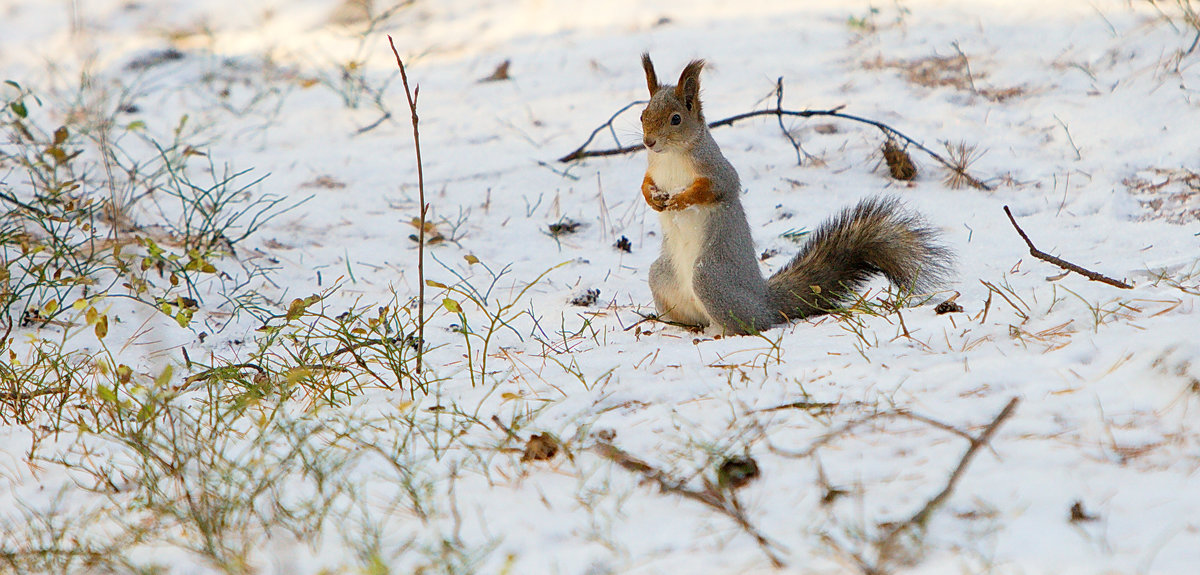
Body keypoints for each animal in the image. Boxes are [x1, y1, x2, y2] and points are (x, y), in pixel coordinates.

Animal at [638, 54, 955, 336]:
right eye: (642, 115)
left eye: (676, 119)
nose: (648, 142)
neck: (670, 156)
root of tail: (764, 302)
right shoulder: (653, 168)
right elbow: (646, 182)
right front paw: (651, 196)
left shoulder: (717, 170)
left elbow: (718, 188)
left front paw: (680, 199)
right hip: (662, 277)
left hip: (711, 279)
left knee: (752, 325)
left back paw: (721, 332)